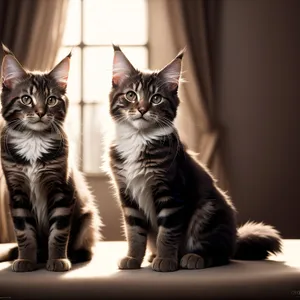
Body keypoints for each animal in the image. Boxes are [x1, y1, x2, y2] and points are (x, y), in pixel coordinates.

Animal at [0, 46, 101, 272]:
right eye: (26, 99)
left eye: (51, 100)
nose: (40, 112)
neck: (33, 140)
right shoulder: (17, 192)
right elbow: (24, 234)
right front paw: (26, 260)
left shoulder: (62, 190)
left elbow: (59, 233)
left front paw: (57, 259)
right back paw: (36, 256)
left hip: (88, 218)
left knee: (86, 247)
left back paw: (73, 255)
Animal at [108, 44, 282, 272]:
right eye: (130, 95)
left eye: (156, 98)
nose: (142, 109)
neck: (138, 139)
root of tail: (234, 240)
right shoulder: (127, 195)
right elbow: (134, 234)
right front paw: (133, 258)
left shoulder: (171, 193)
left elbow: (167, 234)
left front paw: (166, 260)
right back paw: (153, 256)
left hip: (207, 212)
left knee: (220, 255)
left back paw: (191, 258)